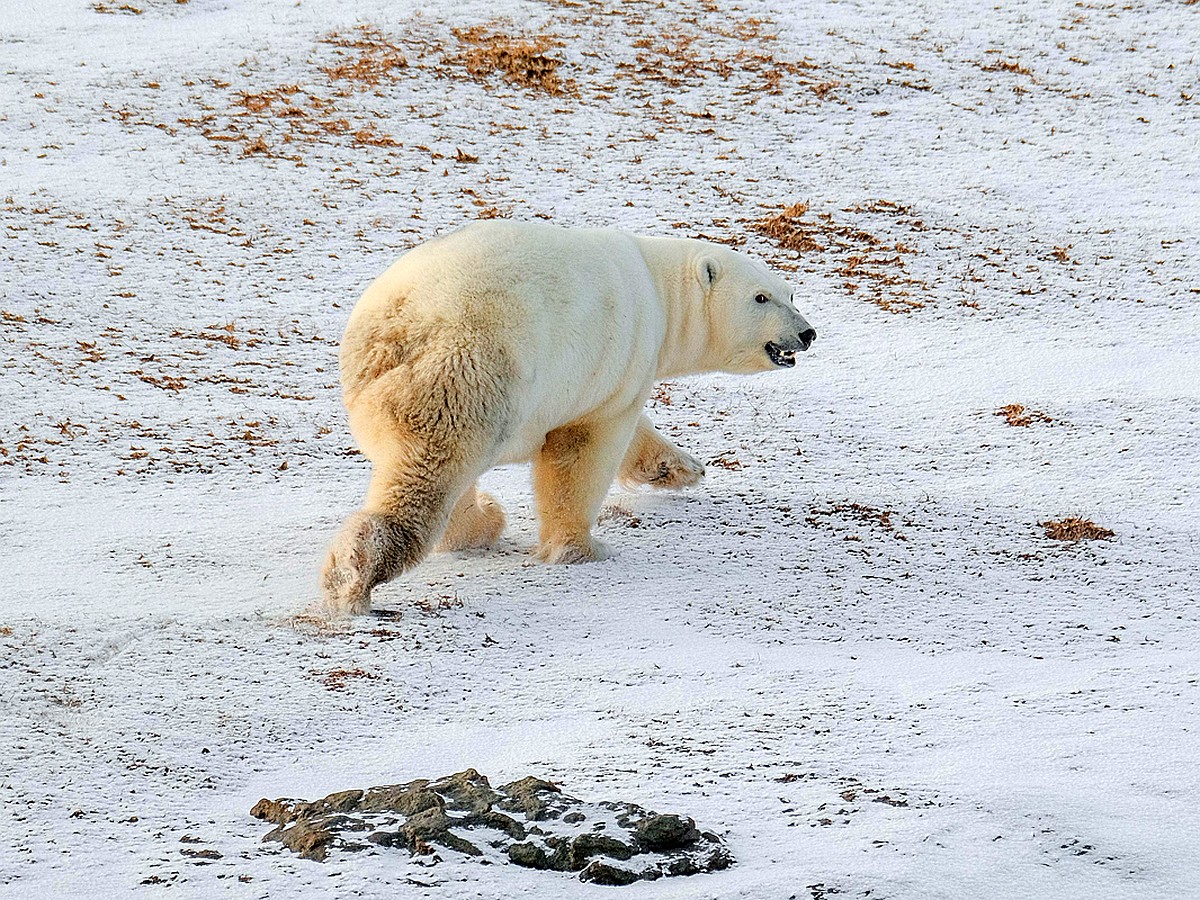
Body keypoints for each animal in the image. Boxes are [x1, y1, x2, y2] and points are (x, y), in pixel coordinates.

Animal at [324, 224, 816, 619]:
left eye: (791, 293)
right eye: (761, 297)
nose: (807, 333)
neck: (658, 289)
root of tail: (393, 332)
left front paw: (680, 468)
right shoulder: (615, 358)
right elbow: (584, 451)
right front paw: (582, 549)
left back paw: (481, 521)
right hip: (467, 375)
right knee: (429, 477)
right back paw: (354, 577)